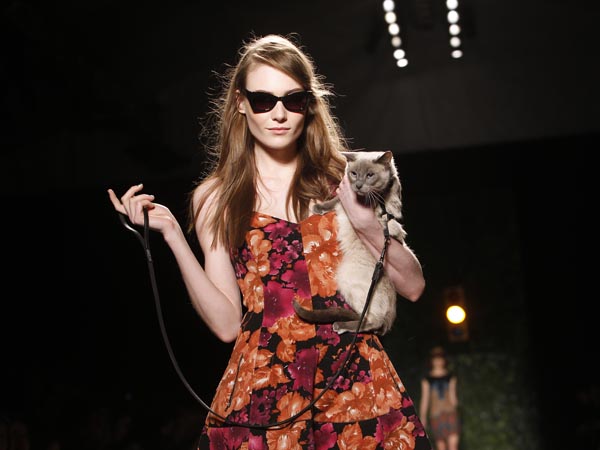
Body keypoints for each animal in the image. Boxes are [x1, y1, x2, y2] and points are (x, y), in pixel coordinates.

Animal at [293, 150, 406, 335]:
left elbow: (393, 204)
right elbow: (334, 200)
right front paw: (319, 208)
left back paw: (340, 326)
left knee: (371, 321)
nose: (358, 185)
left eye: (370, 175)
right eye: (353, 174)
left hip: (346, 278)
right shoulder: (342, 199)